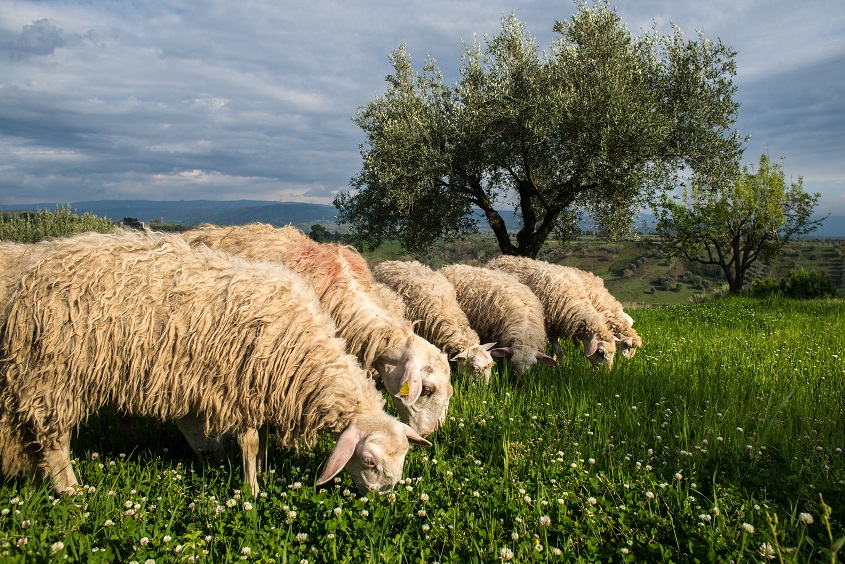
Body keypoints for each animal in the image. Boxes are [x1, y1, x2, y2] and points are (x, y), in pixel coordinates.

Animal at [0, 228, 428, 494]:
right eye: (369, 461)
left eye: (404, 458)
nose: (386, 496)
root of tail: (36, 266)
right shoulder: (241, 386)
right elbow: (250, 442)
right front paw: (252, 490)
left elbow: (243, 437)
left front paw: (244, 468)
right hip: (53, 376)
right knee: (52, 438)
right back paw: (71, 491)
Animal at [484, 256, 616, 370]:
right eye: (600, 352)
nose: (606, 374)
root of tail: (500, 258)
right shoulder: (549, 327)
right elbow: (560, 351)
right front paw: (561, 368)